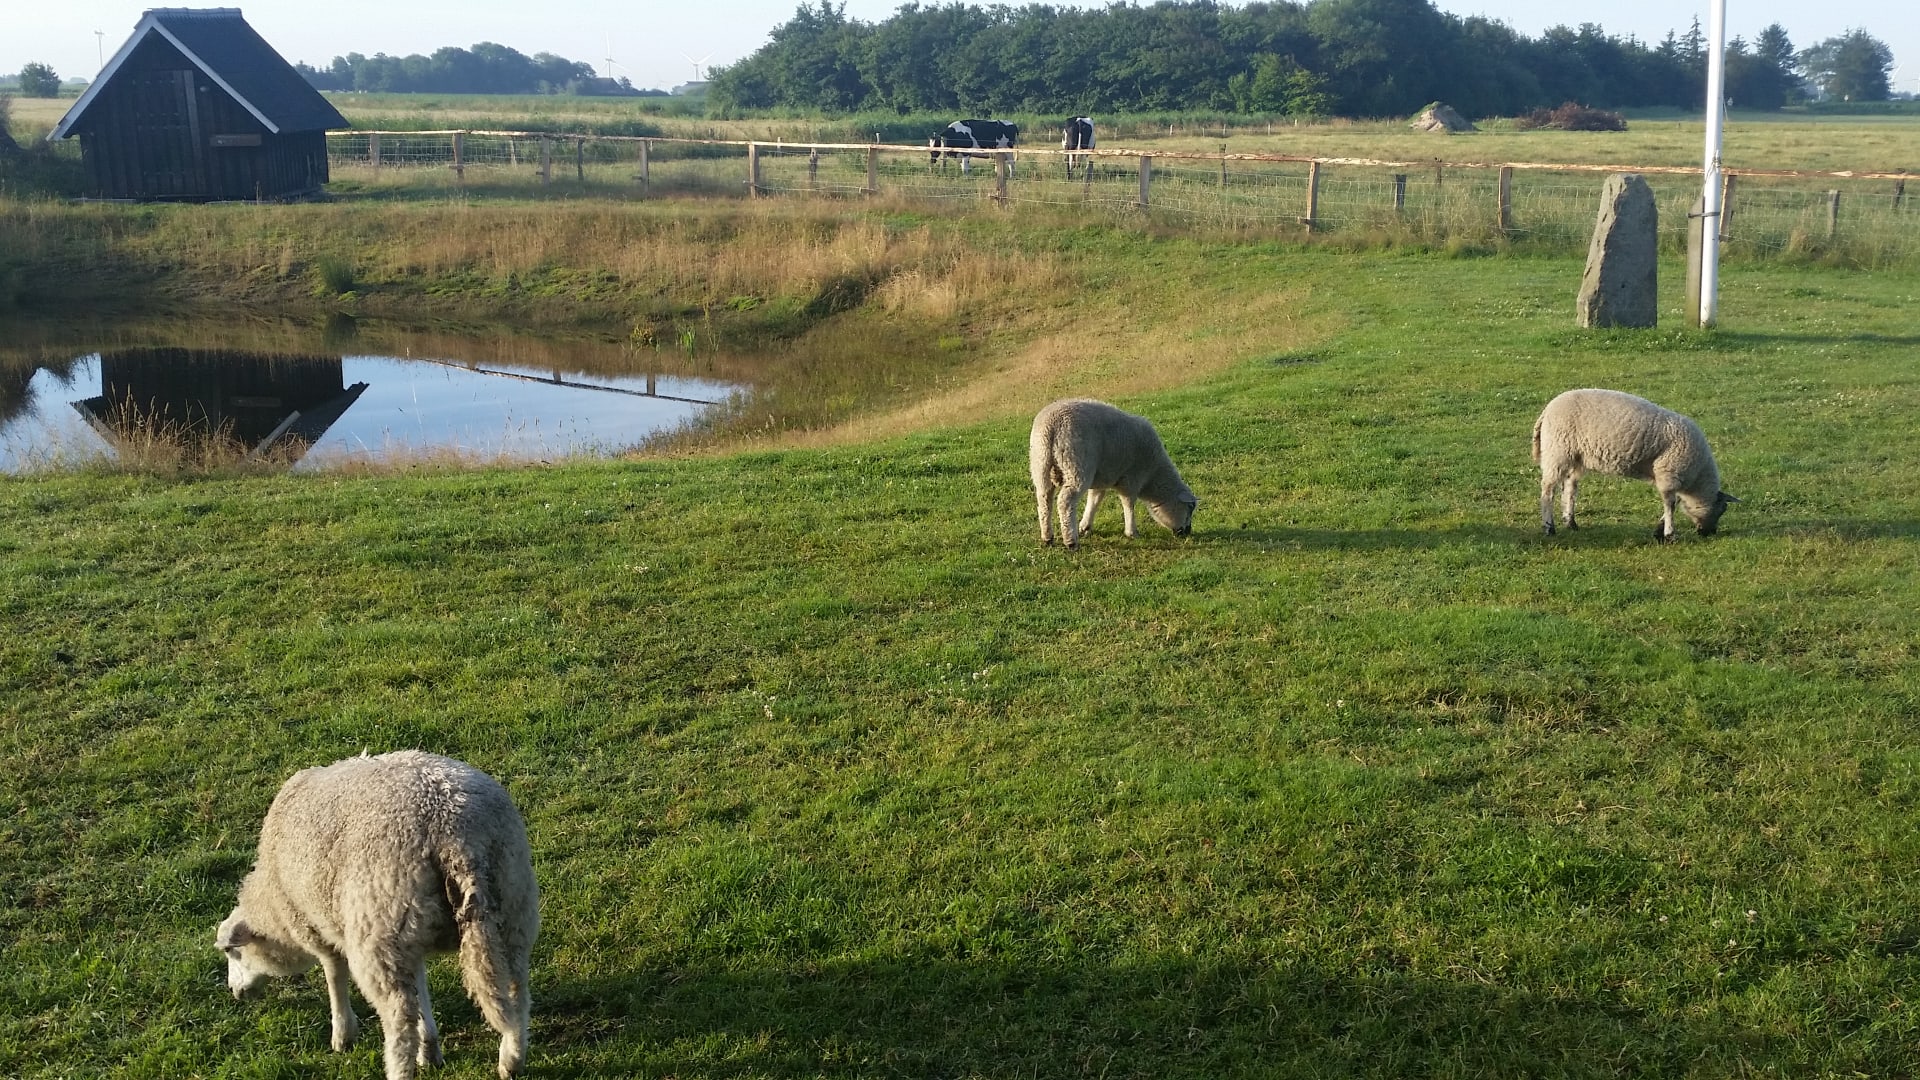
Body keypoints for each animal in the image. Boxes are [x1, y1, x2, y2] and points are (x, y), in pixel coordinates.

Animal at [215, 750, 539, 1080]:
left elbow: (335, 975)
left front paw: (343, 1035)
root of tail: (455, 834)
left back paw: (399, 1068)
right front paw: (430, 1048)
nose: (234, 992)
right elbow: (421, 988)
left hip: (379, 927)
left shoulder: (318, 926)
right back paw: (511, 1059)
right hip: (510, 908)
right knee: (518, 988)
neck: (272, 903)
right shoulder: (410, 939)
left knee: (399, 1019)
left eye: (231, 951)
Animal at [1030, 398, 1197, 548]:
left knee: (1044, 500)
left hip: (1041, 465)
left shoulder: (1102, 477)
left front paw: (1085, 526)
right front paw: (1131, 532)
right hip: (1076, 465)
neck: (1153, 476)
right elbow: (1128, 503)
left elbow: (1095, 499)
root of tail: (1052, 425)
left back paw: (1047, 538)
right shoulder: (1132, 478)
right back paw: (1070, 541)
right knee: (1065, 501)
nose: (1187, 532)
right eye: (1190, 508)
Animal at [1532, 388, 1738, 541]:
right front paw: (1669, 534)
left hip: (1576, 456)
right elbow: (1670, 504)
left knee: (1570, 488)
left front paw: (1659, 530)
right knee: (1548, 490)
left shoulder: (1671, 477)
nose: (1709, 533)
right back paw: (1549, 527)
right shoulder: (1669, 472)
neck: (1697, 479)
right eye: (1722, 510)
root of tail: (1547, 411)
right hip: (1557, 451)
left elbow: (1672, 503)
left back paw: (1571, 522)